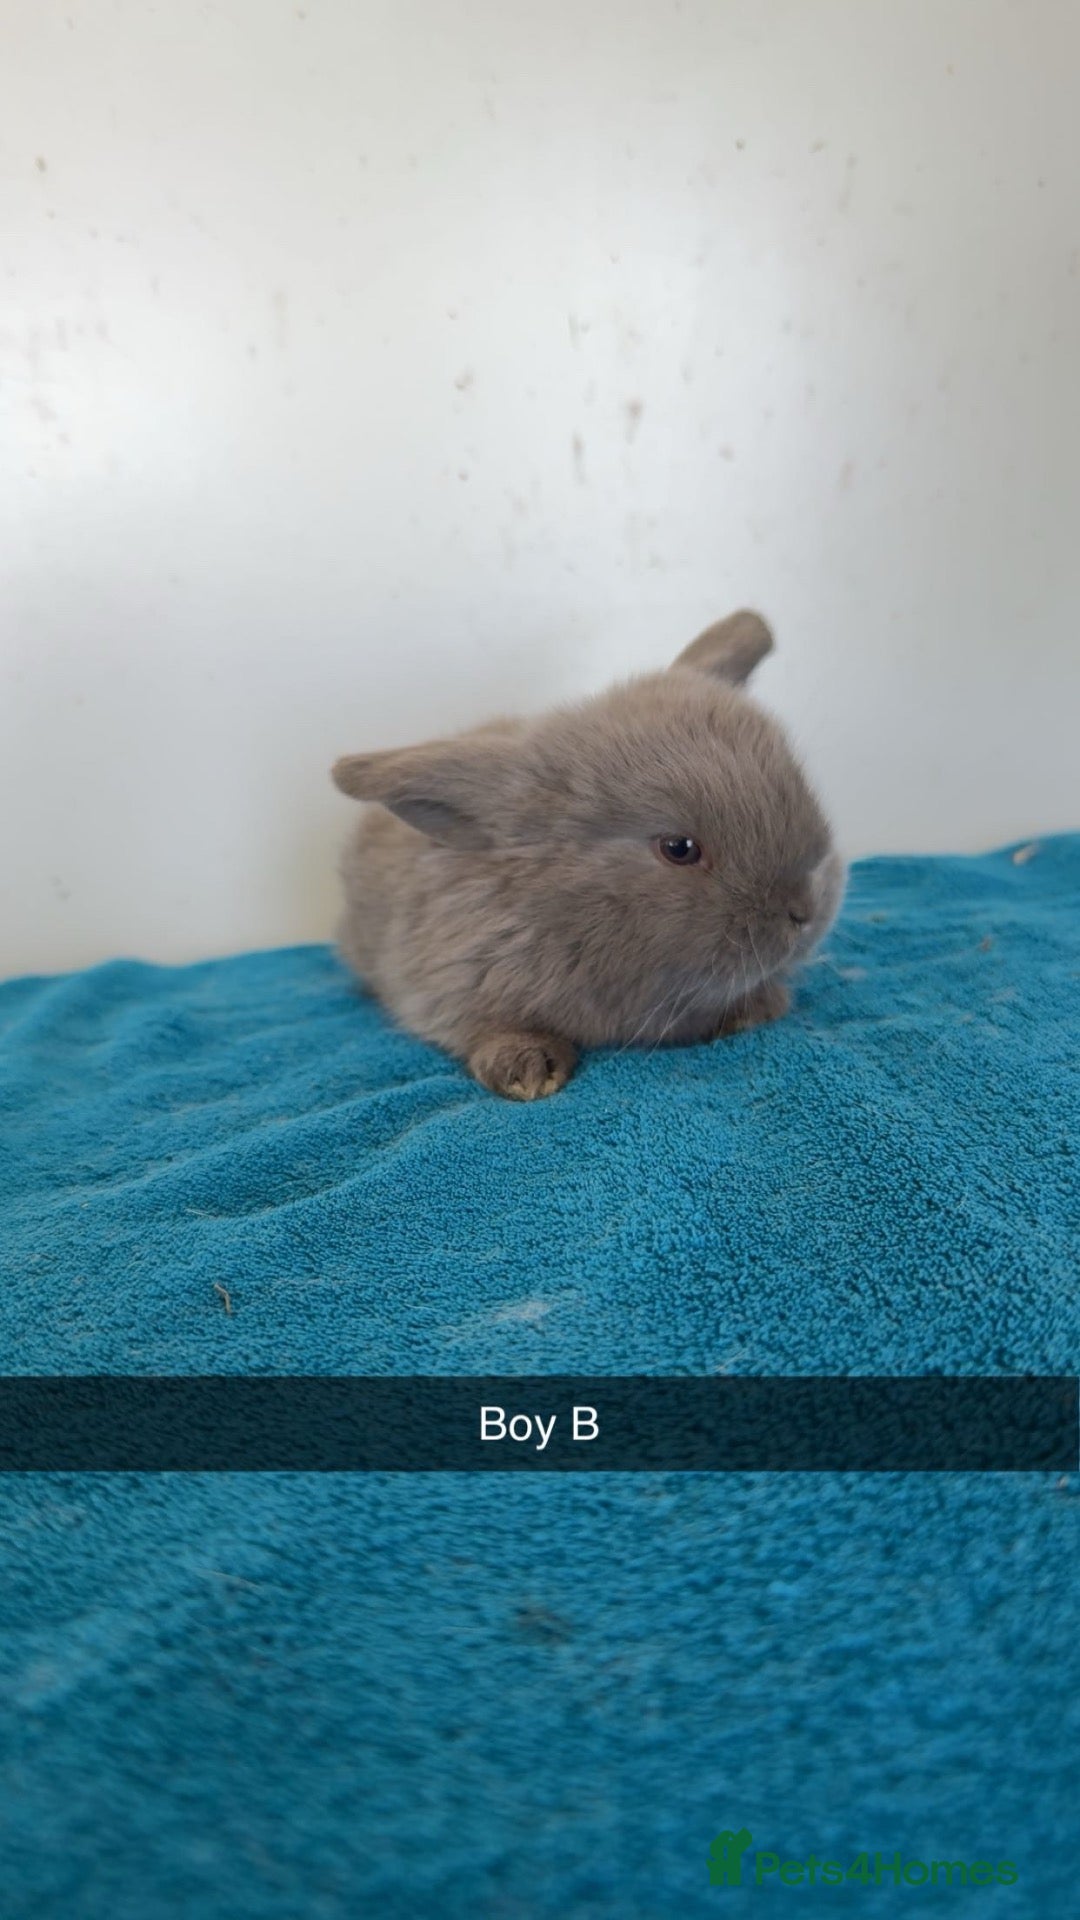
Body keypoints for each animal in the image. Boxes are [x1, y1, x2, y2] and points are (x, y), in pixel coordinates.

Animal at [331, 610, 845, 1099]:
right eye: (679, 849)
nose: (803, 912)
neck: (560, 919)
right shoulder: (444, 987)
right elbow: (482, 1028)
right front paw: (528, 1070)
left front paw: (759, 1008)